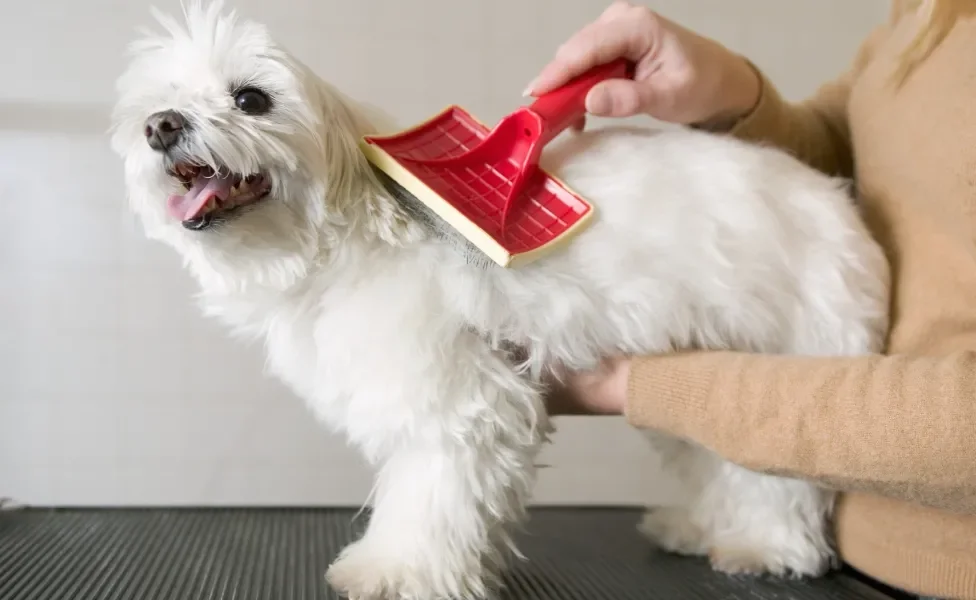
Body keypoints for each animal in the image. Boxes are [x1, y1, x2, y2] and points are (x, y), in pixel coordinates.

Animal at [108, 2, 892, 596]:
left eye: (251, 99)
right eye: (156, 105)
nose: (162, 125)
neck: (343, 238)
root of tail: (838, 201)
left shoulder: (456, 404)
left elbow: (427, 498)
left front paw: (394, 569)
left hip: (795, 354)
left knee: (777, 481)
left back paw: (763, 545)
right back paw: (700, 526)